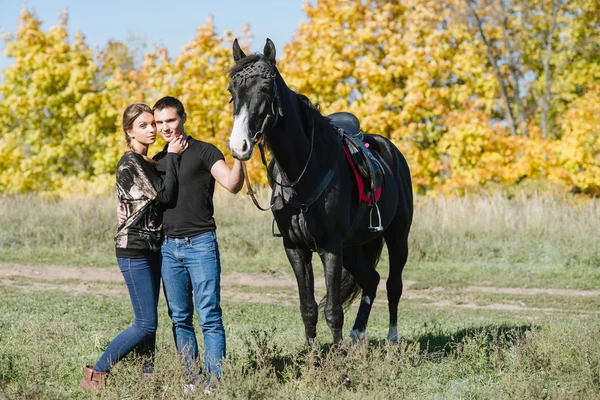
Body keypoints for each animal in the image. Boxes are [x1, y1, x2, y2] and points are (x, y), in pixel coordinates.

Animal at [225, 38, 412, 344]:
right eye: (232, 91)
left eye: (265, 88)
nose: (239, 145)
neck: (303, 171)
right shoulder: (296, 248)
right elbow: (308, 308)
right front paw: (312, 355)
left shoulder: (330, 246)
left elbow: (333, 311)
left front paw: (336, 357)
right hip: (353, 246)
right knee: (370, 279)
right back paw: (358, 334)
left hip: (397, 235)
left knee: (393, 285)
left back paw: (392, 338)